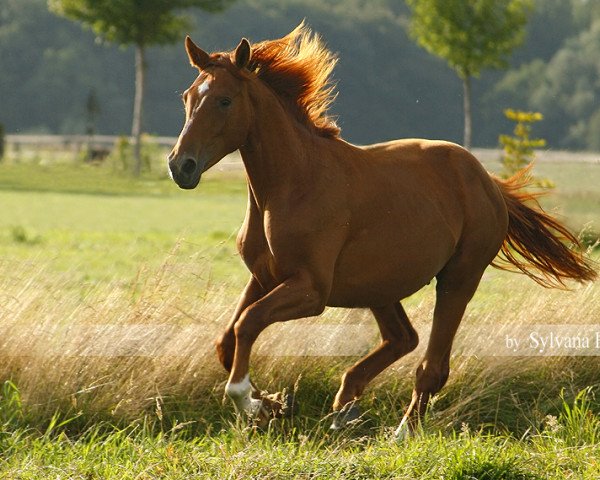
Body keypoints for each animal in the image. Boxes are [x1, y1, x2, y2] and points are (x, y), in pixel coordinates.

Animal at [168, 24, 596, 436]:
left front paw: (252, 402)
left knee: (432, 365)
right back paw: (345, 407)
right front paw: (273, 405)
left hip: (458, 279)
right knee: (403, 338)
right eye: (187, 97)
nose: (180, 166)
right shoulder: (263, 278)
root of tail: (487, 181)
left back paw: (400, 432)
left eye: (224, 100)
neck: (291, 185)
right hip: (379, 286)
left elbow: (248, 324)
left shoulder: (311, 289)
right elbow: (227, 340)